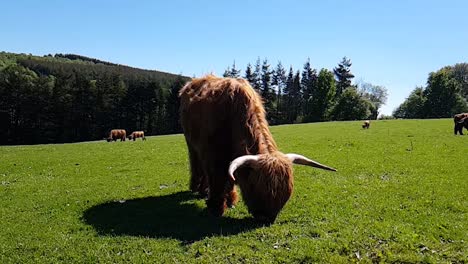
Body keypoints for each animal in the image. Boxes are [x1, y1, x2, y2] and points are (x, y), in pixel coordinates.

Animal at [179, 75, 336, 224]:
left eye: (285, 194)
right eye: (255, 187)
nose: (266, 219)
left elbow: (230, 179)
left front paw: (231, 200)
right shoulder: (213, 155)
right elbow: (217, 179)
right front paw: (216, 208)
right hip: (191, 144)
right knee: (197, 165)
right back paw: (198, 189)